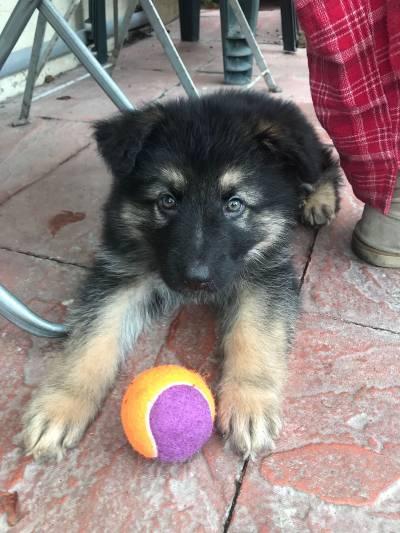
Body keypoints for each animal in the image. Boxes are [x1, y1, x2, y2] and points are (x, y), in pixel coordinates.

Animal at [21, 89, 340, 460]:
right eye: (168, 200)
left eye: (234, 204)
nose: (195, 280)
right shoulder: (121, 275)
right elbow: (92, 340)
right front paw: (59, 405)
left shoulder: (265, 273)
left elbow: (254, 335)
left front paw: (250, 405)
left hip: (306, 154)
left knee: (327, 162)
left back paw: (319, 201)